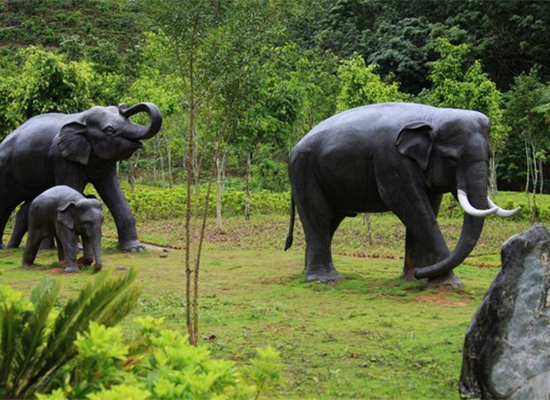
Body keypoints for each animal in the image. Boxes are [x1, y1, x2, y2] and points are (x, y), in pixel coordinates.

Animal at [284, 101, 520, 286]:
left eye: (489, 155)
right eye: (452, 159)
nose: (421, 273)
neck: (433, 117)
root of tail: (295, 147)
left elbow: (428, 208)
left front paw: (415, 279)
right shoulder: (391, 161)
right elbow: (411, 207)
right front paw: (448, 283)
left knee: (330, 221)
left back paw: (310, 273)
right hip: (304, 172)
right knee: (319, 216)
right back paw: (326, 279)